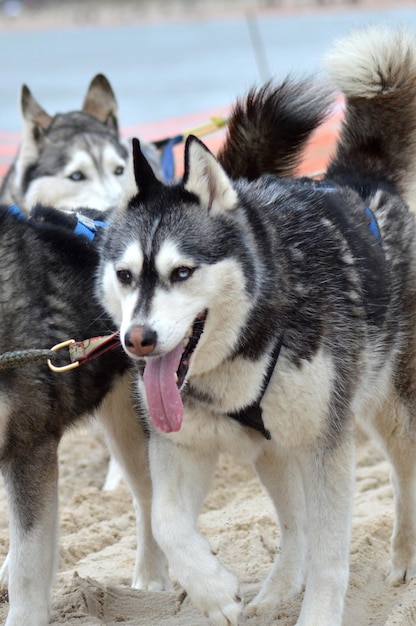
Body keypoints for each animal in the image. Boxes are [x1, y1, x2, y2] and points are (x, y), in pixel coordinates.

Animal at [97, 26, 416, 624]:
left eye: (181, 272)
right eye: (125, 275)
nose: (138, 340)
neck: (255, 336)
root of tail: (356, 178)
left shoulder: (325, 446)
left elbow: (331, 555)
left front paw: (318, 613)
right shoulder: (180, 445)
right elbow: (166, 521)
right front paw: (214, 590)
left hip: (389, 409)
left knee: (404, 474)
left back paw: (404, 559)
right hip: (275, 448)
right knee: (294, 525)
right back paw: (276, 590)